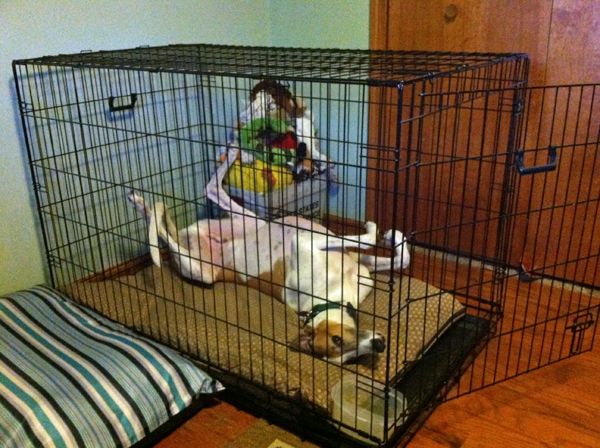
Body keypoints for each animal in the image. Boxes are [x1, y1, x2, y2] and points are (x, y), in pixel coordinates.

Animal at [126, 147, 408, 364]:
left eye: (353, 359)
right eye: (337, 342)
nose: (379, 346)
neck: (329, 296)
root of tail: (191, 238)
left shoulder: (360, 267)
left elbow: (401, 259)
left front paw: (393, 235)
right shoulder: (305, 242)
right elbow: (367, 240)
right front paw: (373, 228)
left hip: (249, 221)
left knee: (209, 192)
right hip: (200, 271)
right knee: (166, 240)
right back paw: (144, 207)